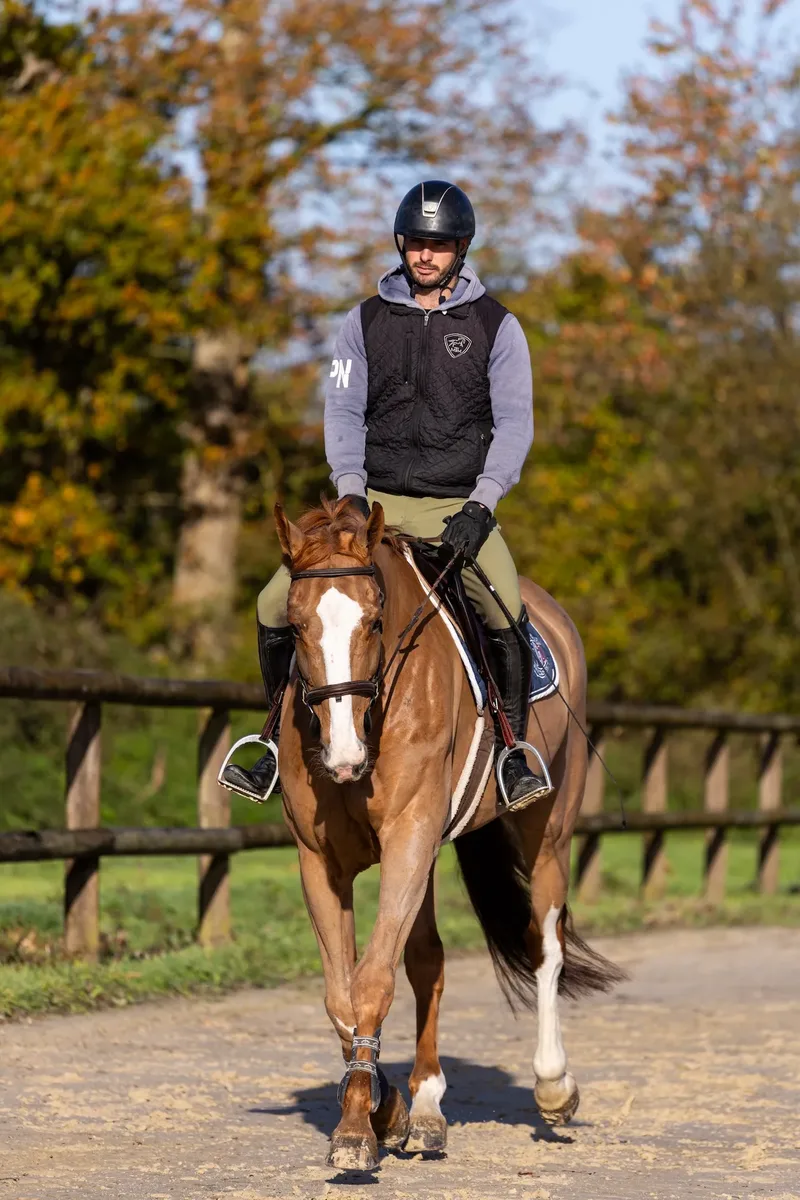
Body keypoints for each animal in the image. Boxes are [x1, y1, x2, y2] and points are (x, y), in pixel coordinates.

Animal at [273, 496, 622, 1171]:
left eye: (374, 623)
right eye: (294, 627)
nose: (344, 755)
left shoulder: (409, 836)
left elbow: (373, 980)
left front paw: (357, 1131)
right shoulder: (321, 860)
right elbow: (343, 994)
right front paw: (384, 1109)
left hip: (549, 829)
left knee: (545, 943)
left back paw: (553, 1087)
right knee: (427, 960)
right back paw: (428, 1106)